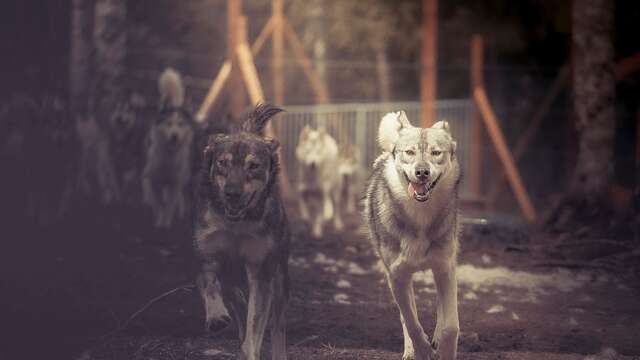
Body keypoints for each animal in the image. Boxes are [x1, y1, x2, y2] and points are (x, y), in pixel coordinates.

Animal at [192, 103, 288, 360]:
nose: (232, 193)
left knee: (277, 327)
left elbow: (256, 325)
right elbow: (209, 284)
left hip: (279, 278)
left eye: (253, 166)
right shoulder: (208, 254)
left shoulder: (261, 270)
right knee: (236, 300)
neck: (237, 225)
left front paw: (250, 349)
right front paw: (216, 316)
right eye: (222, 163)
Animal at [362, 111, 458, 358]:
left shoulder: (445, 268)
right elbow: (412, 323)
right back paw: (411, 350)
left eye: (436, 153)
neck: (420, 217)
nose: (422, 172)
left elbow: (451, 326)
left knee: (440, 308)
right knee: (407, 317)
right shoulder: (397, 276)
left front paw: (443, 349)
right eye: (410, 152)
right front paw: (422, 350)